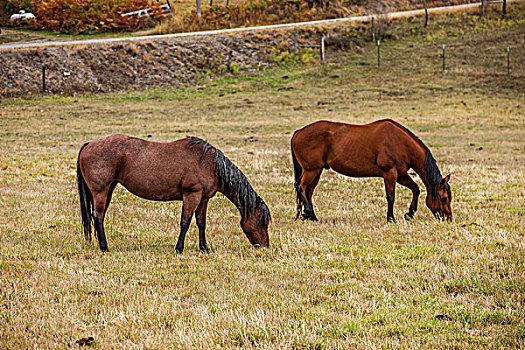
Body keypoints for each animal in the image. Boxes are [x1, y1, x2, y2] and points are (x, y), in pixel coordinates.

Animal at [77, 133, 270, 252]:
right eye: (262, 221)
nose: (265, 245)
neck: (209, 164)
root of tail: (89, 144)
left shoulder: (203, 199)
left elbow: (201, 223)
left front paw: (204, 248)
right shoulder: (191, 195)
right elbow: (185, 222)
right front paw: (179, 248)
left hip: (108, 189)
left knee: (99, 216)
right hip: (101, 191)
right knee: (98, 216)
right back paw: (104, 247)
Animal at [290, 120, 450, 223]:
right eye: (444, 198)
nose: (448, 219)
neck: (400, 142)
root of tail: (299, 132)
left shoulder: (401, 174)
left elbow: (416, 189)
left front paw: (409, 214)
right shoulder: (390, 173)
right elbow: (391, 197)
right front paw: (391, 219)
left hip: (317, 171)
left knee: (308, 191)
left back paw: (312, 216)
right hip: (311, 170)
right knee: (301, 187)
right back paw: (308, 213)